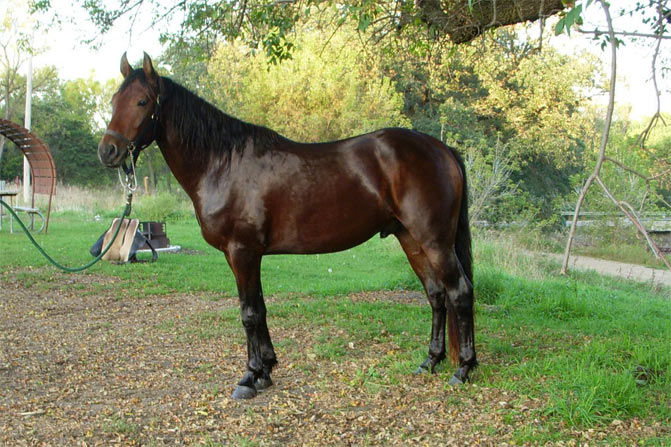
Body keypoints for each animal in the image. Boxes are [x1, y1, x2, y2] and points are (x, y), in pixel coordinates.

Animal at [98, 52, 476, 399]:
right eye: (114, 100)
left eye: (142, 101)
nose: (108, 151)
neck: (222, 163)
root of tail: (441, 149)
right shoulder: (246, 256)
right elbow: (260, 308)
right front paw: (266, 369)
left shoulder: (242, 251)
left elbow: (249, 313)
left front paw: (249, 377)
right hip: (410, 239)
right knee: (436, 294)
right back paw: (431, 361)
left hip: (435, 241)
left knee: (459, 291)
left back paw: (463, 369)